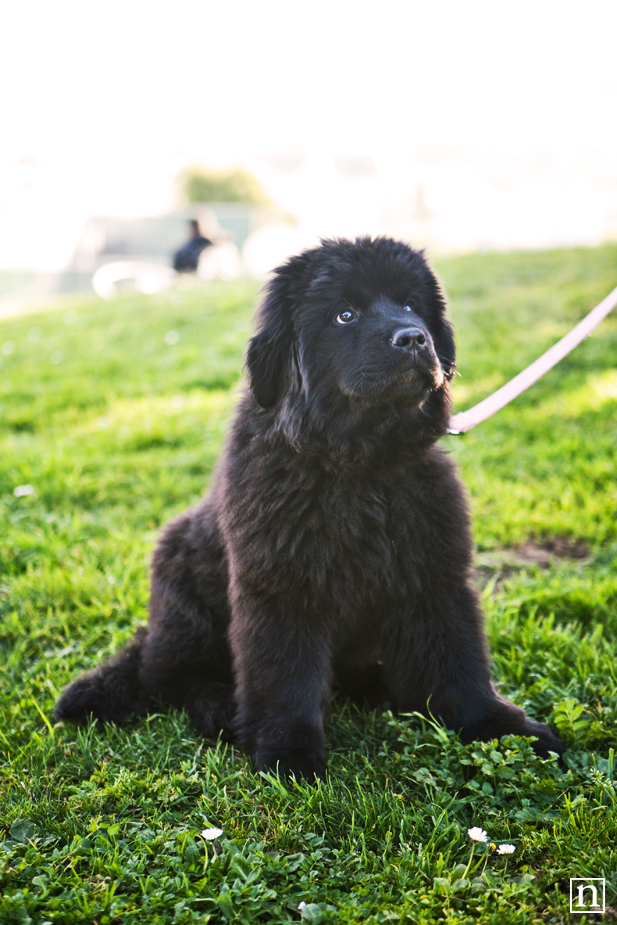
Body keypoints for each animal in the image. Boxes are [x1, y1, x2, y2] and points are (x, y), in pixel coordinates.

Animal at [57, 236, 564, 772]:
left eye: (410, 305)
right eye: (344, 315)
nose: (413, 338)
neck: (360, 467)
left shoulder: (433, 578)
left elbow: (458, 663)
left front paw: (502, 727)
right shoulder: (280, 589)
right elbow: (285, 679)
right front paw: (289, 755)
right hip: (185, 602)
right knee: (171, 678)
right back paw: (219, 707)